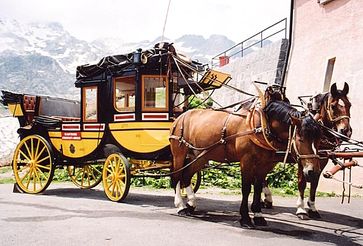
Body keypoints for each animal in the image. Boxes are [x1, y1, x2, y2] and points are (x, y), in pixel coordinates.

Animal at [170, 99, 322, 228]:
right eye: (301, 139)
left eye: (319, 139)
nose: (313, 171)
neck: (261, 125)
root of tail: (180, 117)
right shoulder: (246, 161)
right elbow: (246, 189)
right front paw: (245, 218)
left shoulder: (264, 164)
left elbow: (258, 188)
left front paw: (258, 215)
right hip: (179, 154)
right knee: (177, 177)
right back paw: (180, 206)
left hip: (200, 156)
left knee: (186, 176)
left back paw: (191, 203)